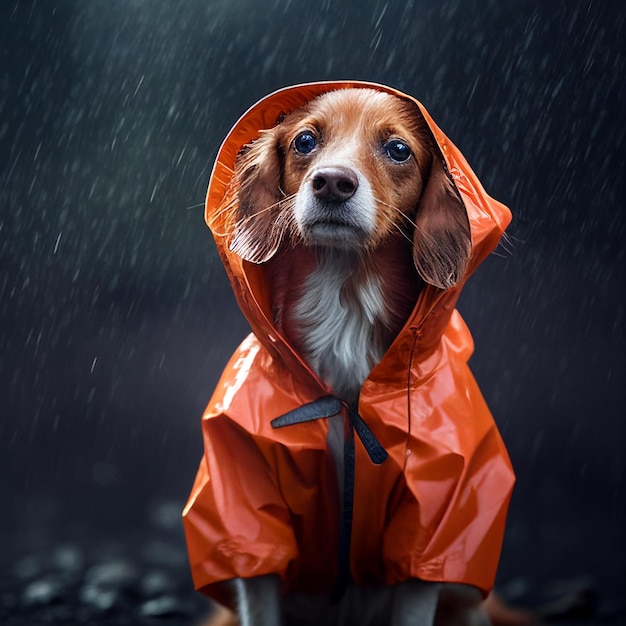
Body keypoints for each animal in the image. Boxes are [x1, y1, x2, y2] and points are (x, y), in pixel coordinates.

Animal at [193, 86, 524, 624]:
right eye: (305, 140)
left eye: (398, 149)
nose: (332, 183)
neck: (344, 298)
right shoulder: (247, 514)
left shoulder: (432, 524)